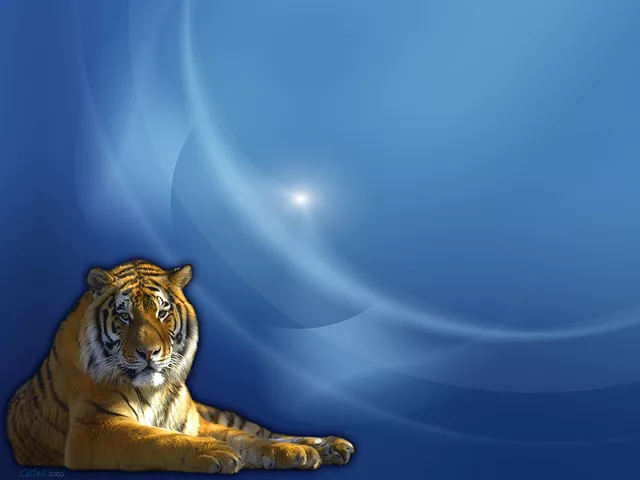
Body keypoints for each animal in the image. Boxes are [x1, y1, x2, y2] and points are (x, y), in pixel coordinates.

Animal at [6, 260, 355, 474]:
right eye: (124, 316)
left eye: (162, 313)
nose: (149, 352)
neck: (154, 392)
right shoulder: (94, 429)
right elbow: (156, 440)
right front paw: (215, 453)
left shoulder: (194, 423)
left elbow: (246, 439)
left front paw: (295, 453)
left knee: (267, 431)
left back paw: (329, 446)